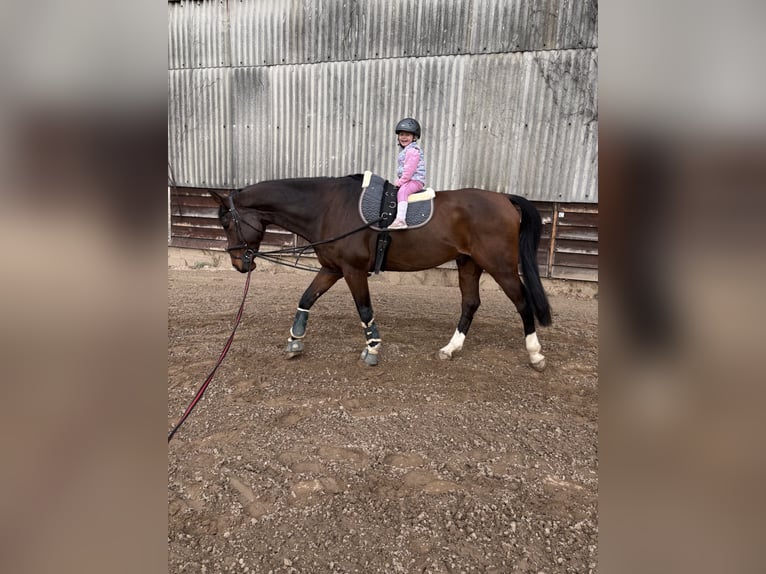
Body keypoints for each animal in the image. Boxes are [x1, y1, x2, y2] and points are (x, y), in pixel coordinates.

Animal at [209, 174, 552, 370]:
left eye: (226, 223)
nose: (239, 264)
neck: (328, 207)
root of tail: (504, 199)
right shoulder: (332, 268)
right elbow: (306, 298)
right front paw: (295, 340)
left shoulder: (353, 270)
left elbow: (364, 309)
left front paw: (372, 349)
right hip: (469, 263)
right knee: (470, 303)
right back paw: (450, 349)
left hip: (499, 265)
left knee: (522, 302)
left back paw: (535, 355)